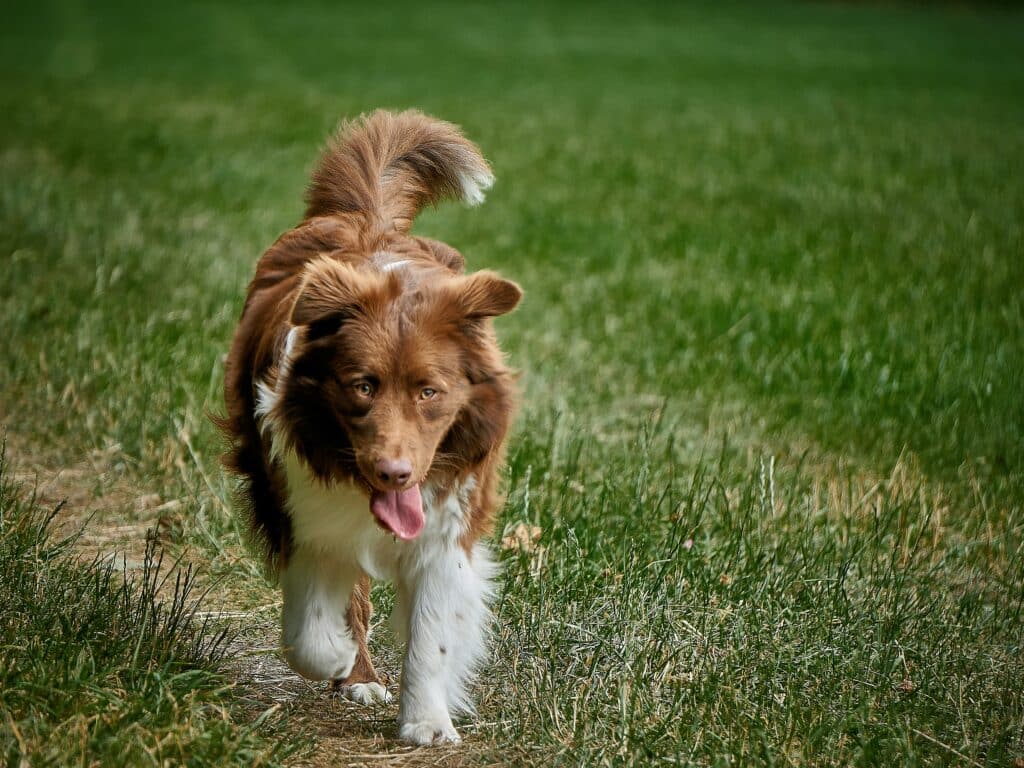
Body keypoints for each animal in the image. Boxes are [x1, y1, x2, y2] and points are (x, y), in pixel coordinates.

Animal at [217, 109, 520, 745]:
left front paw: (427, 722)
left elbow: (432, 632)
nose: (394, 473)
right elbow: (309, 628)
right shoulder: (298, 508)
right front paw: (335, 657)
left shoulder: (447, 520)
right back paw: (354, 672)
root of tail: (367, 220)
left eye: (430, 391)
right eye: (362, 386)